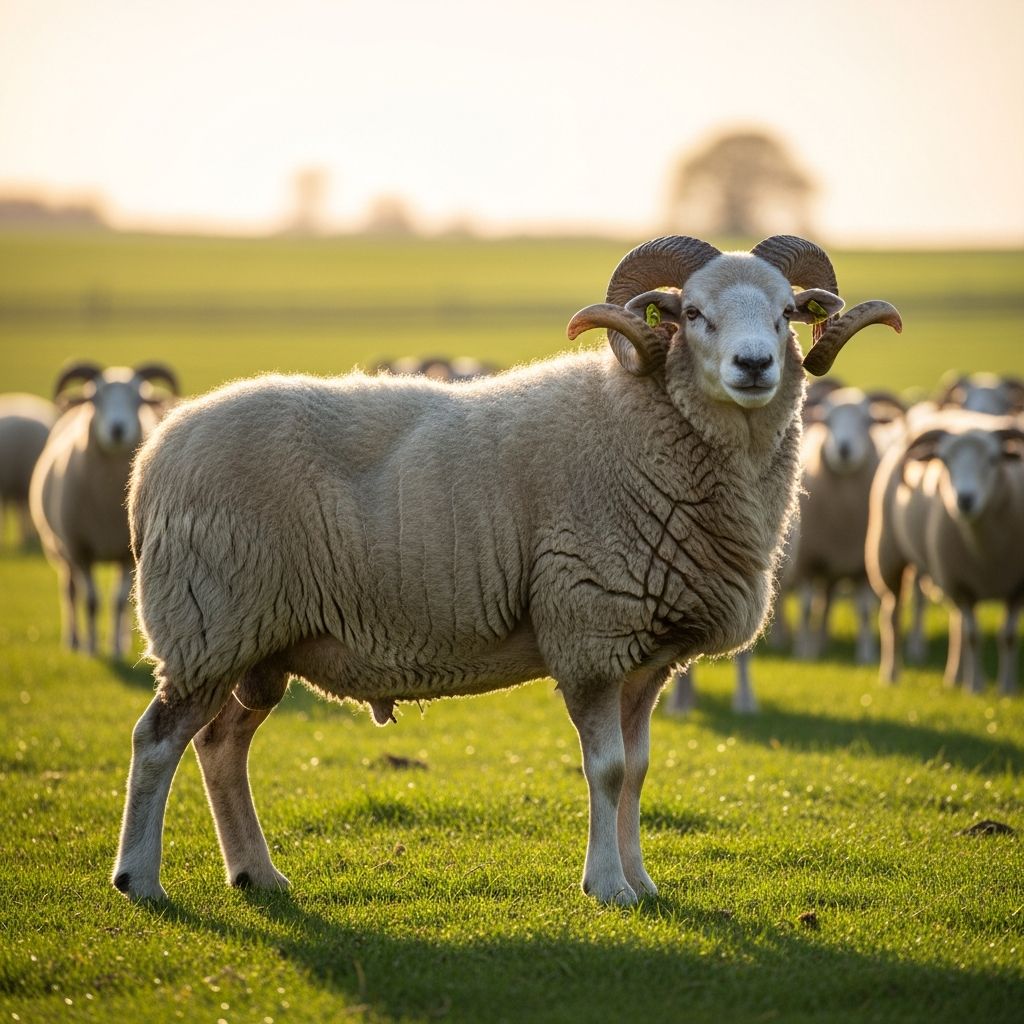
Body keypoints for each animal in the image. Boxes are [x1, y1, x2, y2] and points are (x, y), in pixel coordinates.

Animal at [29, 361, 179, 657]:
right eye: (95, 398)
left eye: (139, 399)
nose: (117, 429)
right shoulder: (79, 550)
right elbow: (91, 601)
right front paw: (90, 648)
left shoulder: (126, 552)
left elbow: (120, 601)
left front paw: (117, 648)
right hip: (60, 550)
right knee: (70, 591)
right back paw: (74, 641)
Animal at [111, 234, 901, 905]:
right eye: (694, 314)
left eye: (785, 314)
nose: (755, 366)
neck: (645, 423)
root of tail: (151, 462)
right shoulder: (590, 631)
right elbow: (608, 769)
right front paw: (606, 888)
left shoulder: (646, 654)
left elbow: (640, 770)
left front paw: (642, 884)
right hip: (208, 621)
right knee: (156, 740)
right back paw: (139, 881)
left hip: (260, 642)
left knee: (221, 747)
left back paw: (256, 873)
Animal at [866, 412, 1024, 692]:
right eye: (945, 461)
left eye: (993, 459)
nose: (965, 500)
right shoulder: (962, 585)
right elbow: (973, 636)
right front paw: (976, 687)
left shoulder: (1015, 588)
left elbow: (1007, 636)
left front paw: (1006, 688)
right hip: (888, 557)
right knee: (892, 616)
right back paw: (892, 674)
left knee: (956, 623)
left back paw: (955, 677)